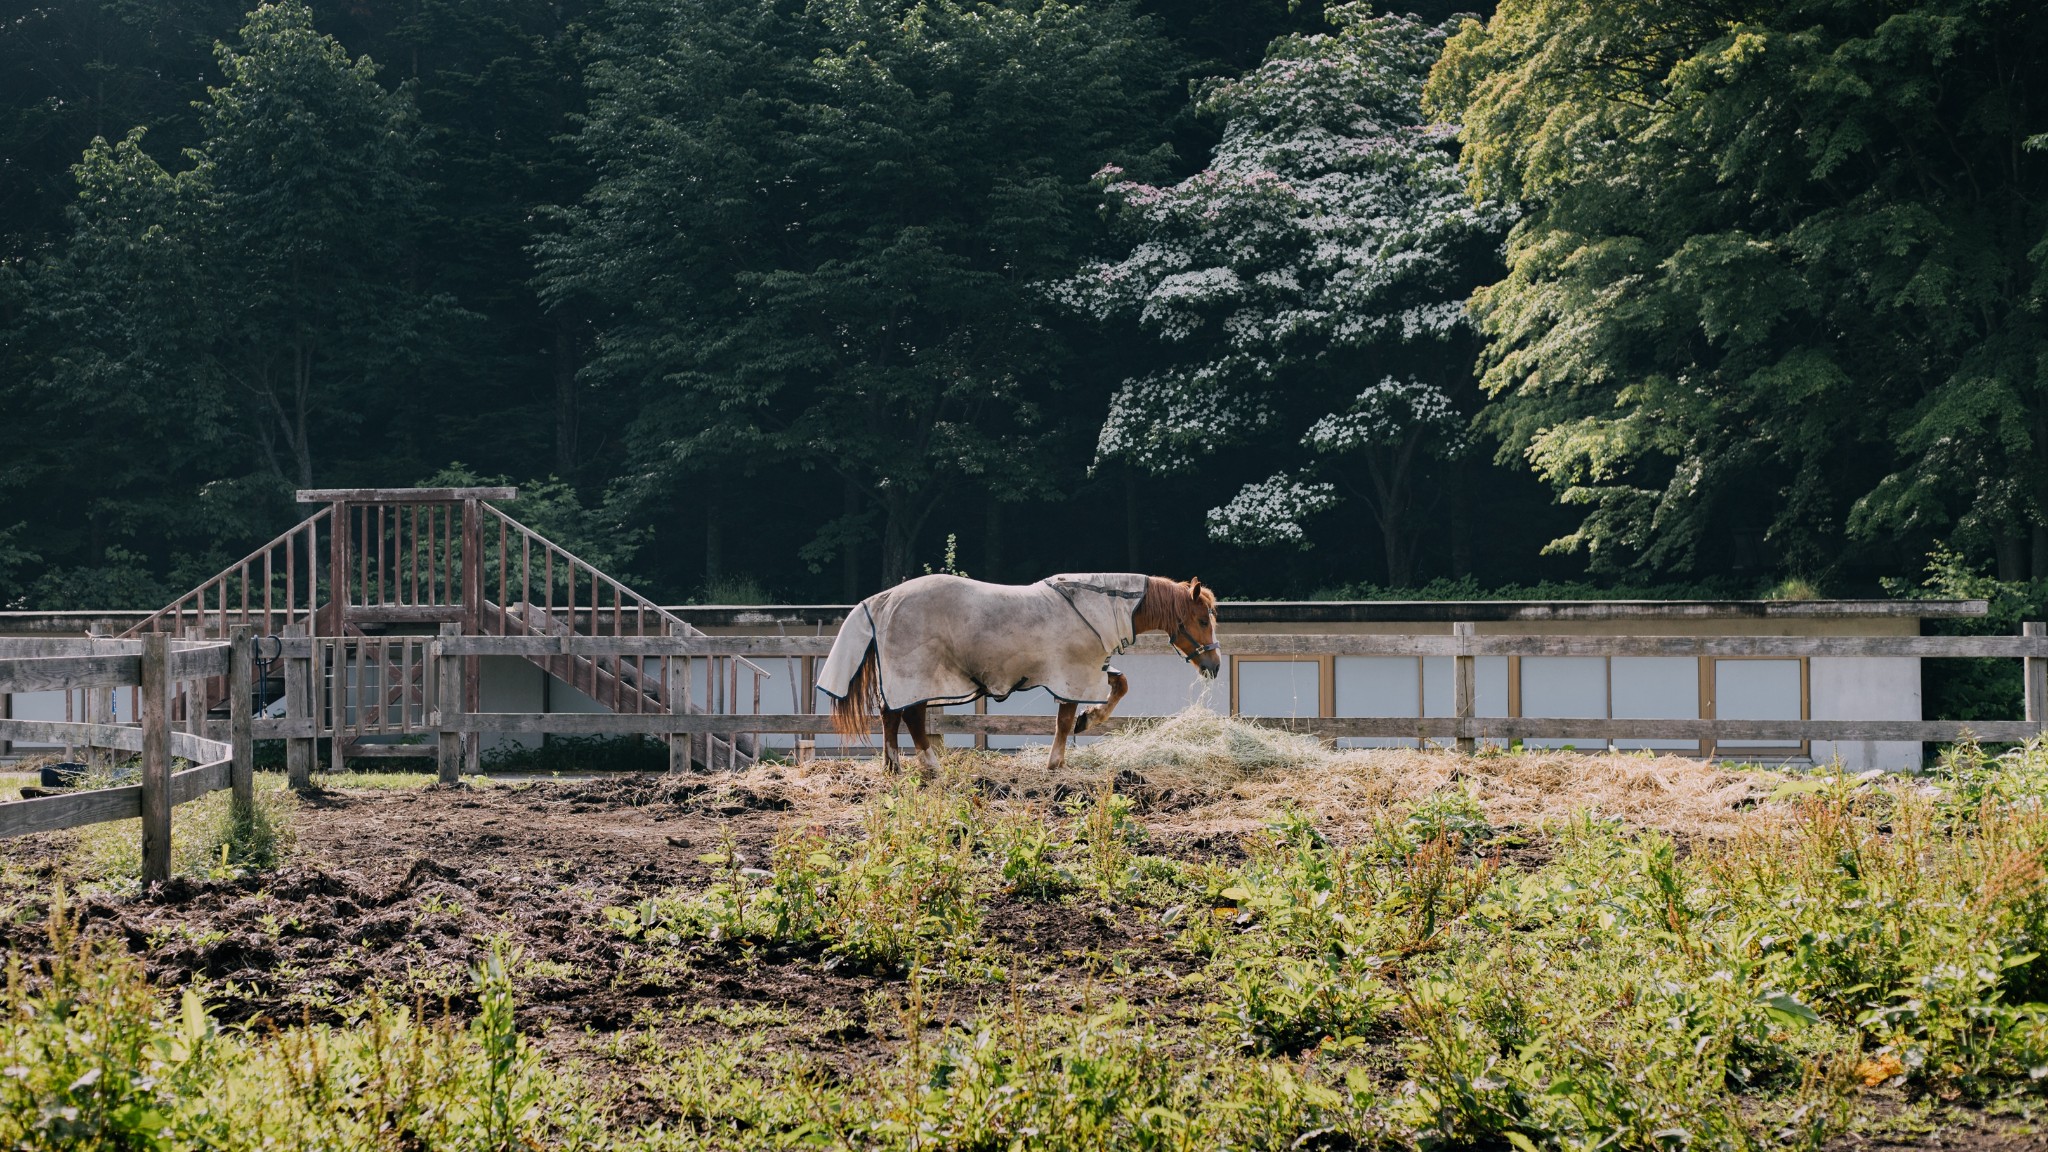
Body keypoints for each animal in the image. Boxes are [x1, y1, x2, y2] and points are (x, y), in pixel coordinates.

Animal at [823, 569, 1220, 766]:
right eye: (1202, 620)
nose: (1214, 665)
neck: (1093, 605)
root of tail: (884, 599)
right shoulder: (1072, 677)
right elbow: (1064, 722)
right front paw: (1056, 762)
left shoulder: (1091, 671)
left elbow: (1120, 685)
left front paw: (1089, 719)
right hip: (919, 677)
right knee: (910, 717)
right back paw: (930, 766)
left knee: (891, 715)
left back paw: (894, 767)